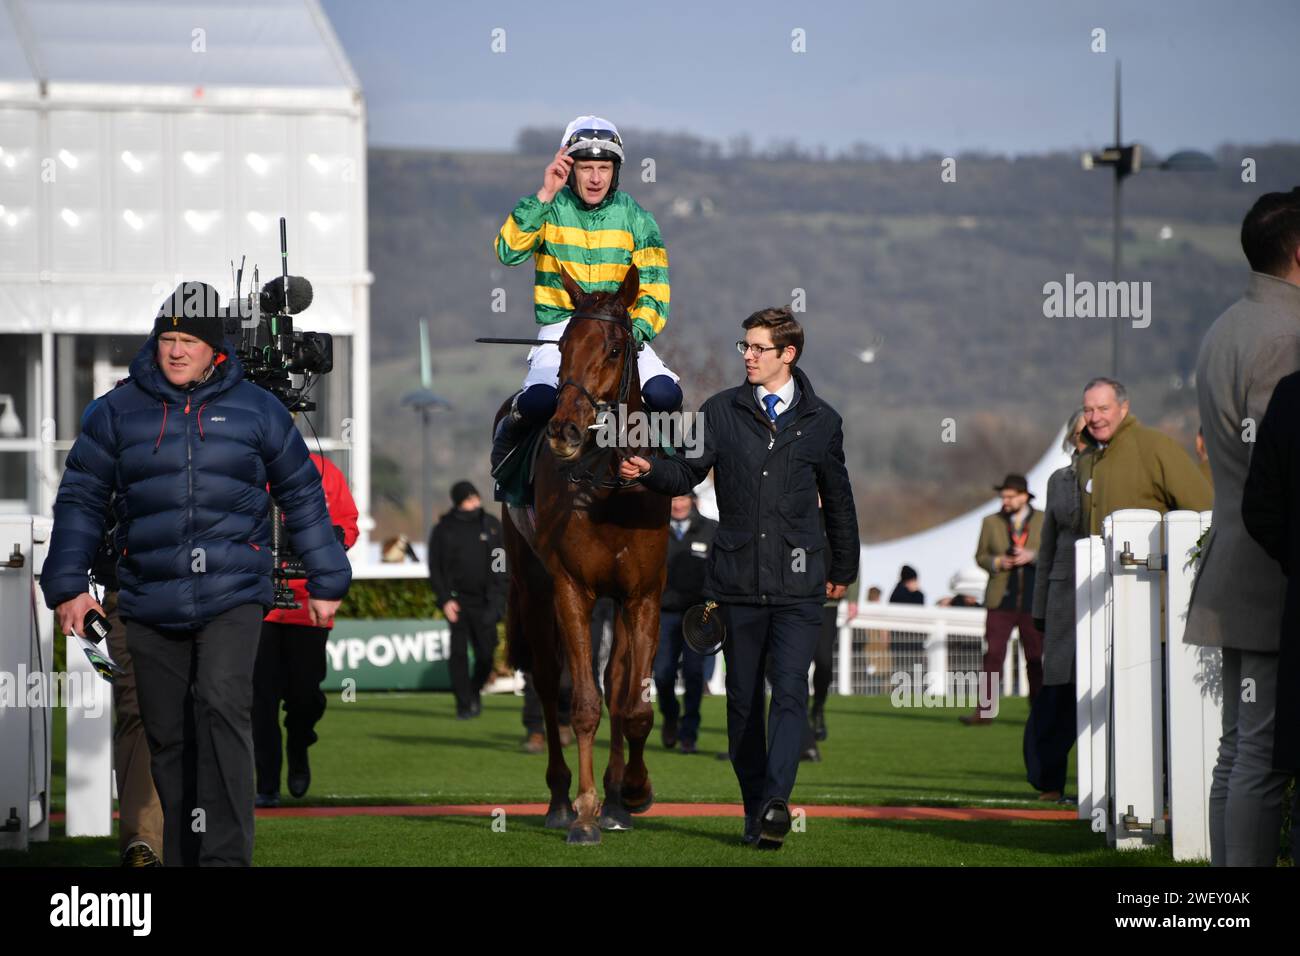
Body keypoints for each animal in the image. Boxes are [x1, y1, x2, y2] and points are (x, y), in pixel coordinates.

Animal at [493, 261, 670, 842]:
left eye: (614, 349)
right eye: (565, 344)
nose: (565, 429)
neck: (611, 490)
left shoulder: (643, 595)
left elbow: (632, 705)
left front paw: (629, 793)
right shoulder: (572, 588)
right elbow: (585, 704)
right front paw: (586, 810)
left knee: (613, 684)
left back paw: (615, 799)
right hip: (531, 585)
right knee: (551, 686)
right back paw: (558, 799)